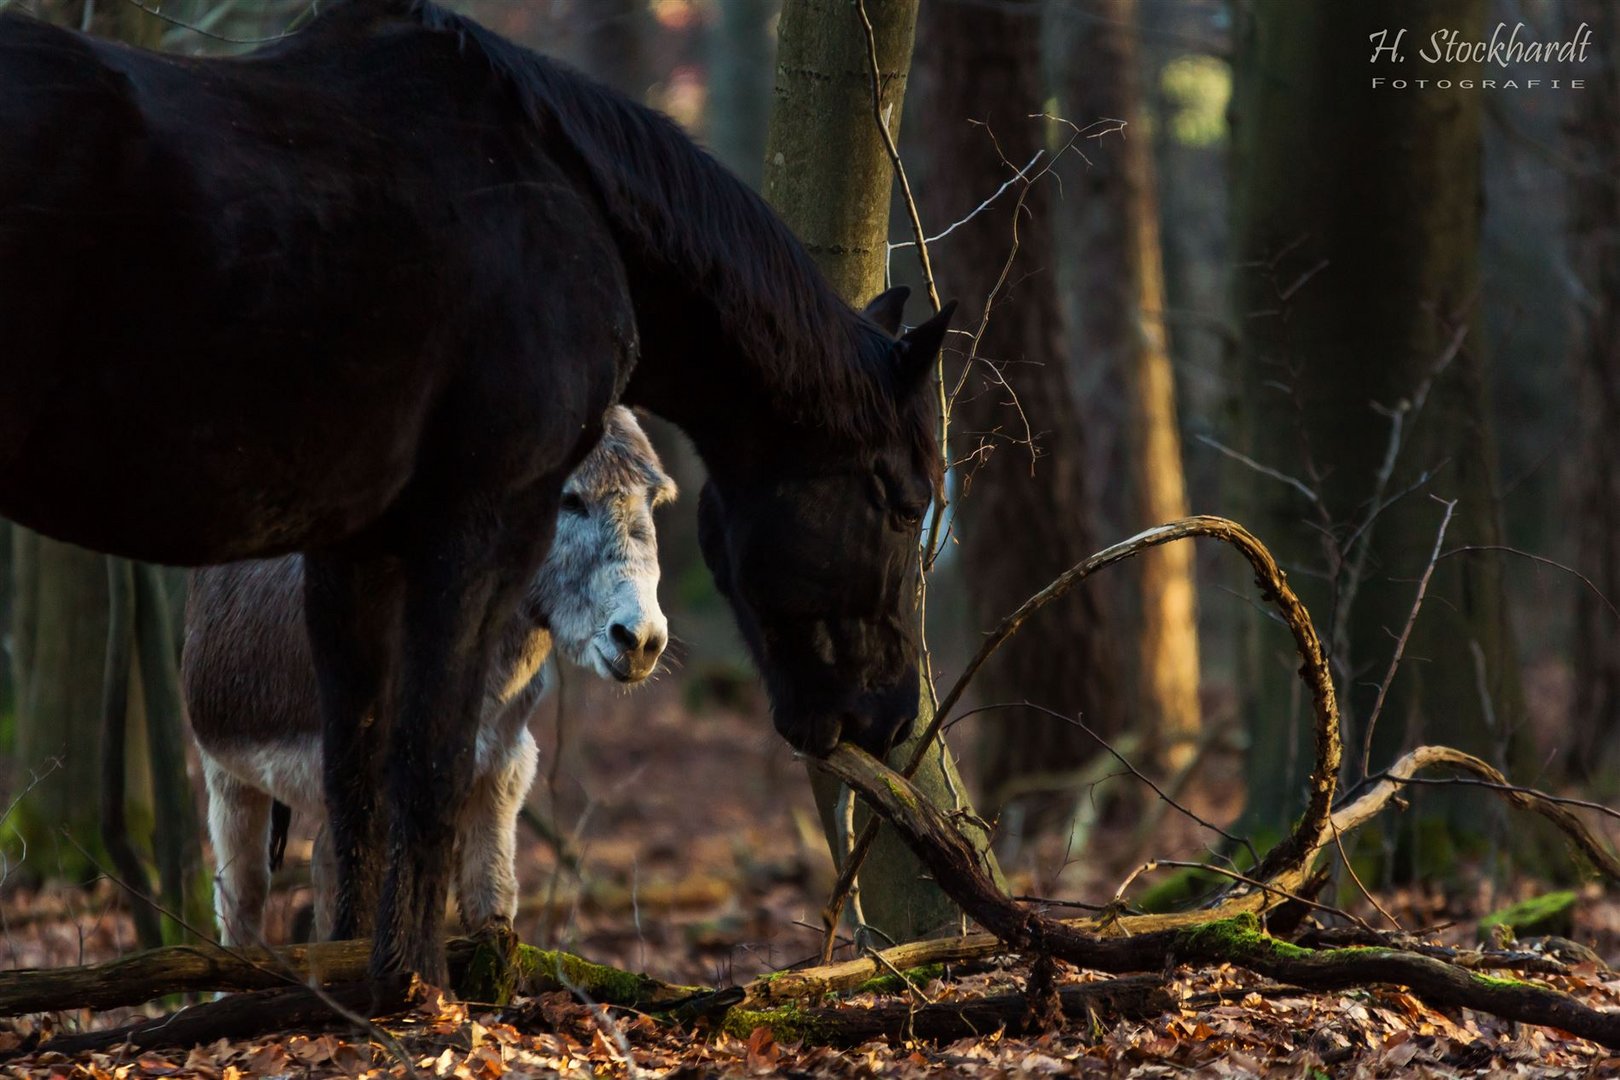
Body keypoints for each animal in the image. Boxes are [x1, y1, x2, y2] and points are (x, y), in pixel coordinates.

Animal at [0, 0, 946, 984]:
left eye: (659, 501)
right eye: (904, 500)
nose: (891, 716)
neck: (567, 191)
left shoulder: (360, 553)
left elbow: (384, 797)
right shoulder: (477, 518)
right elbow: (422, 769)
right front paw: (413, 990)